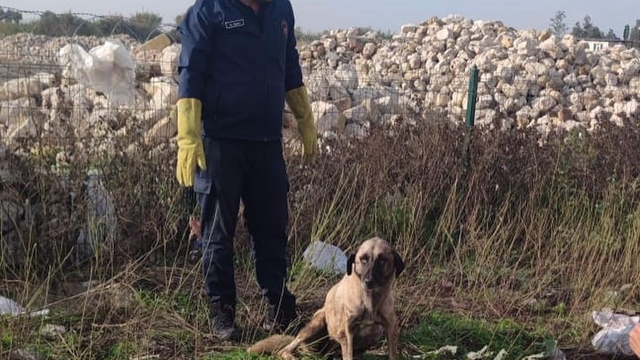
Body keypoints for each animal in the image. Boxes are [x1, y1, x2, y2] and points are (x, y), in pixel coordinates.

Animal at [246, 236, 404, 360]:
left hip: (374, 333)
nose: (368, 281)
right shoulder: (347, 331)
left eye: (382, 260)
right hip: (316, 324)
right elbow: (348, 354)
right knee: (284, 350)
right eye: (363, 259)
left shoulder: (391, 327)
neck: (369, 299)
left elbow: (392, 354)